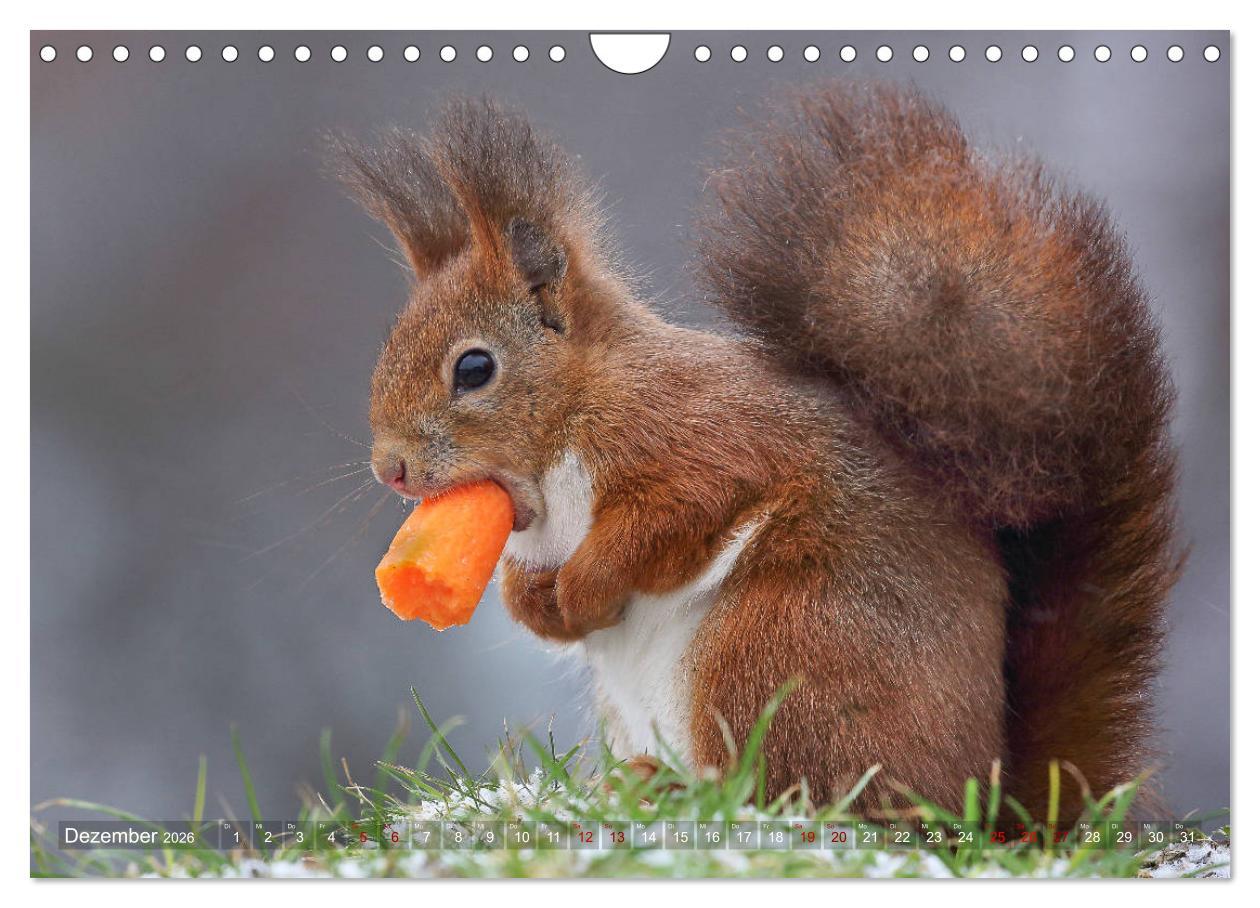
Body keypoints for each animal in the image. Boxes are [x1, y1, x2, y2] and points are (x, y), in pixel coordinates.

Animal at [337, 83, 1180, 818]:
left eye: (474, 369)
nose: (391, 468)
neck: (562, 441)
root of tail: (986, 793)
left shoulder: (700, 441)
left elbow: (665, 521)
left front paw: (583, 588)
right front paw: (537, 604)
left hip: (780, 648)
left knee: (799, 792)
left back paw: (680, 788)